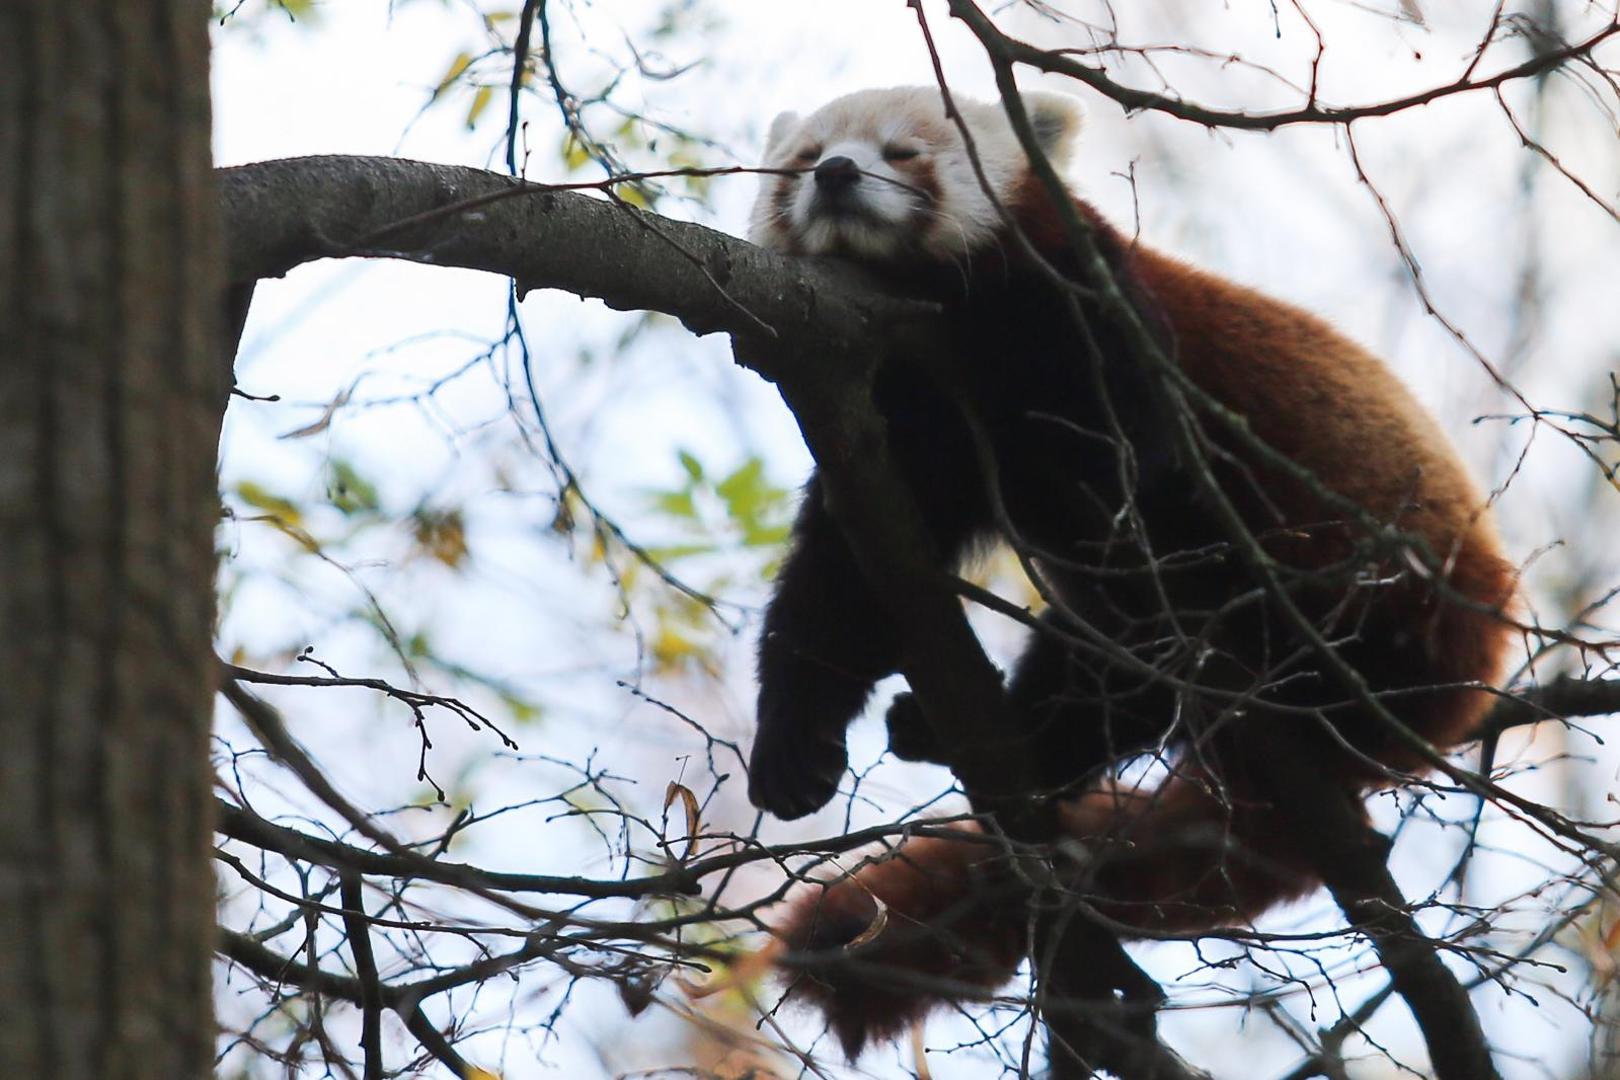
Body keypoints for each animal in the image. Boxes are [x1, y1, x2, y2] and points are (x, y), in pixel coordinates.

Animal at [741, 88, 1509, 1062]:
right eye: (805, 159)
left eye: (903, 152)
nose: (838, 174)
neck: (943, 321)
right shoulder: (890, 421)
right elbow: (844, 585)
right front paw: (794, 743)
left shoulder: (1088, 316)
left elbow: (1131, 485)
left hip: (1375, 604)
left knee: (1154, 635)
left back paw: (1030, 732)